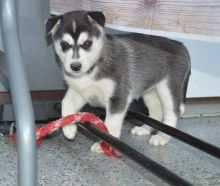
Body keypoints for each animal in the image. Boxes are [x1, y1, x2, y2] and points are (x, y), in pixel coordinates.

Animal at [45, 10, 190, 153]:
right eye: (64, 45)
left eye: (87, 43)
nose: (75, 66)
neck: (92, 69)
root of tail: (181, 46)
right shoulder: (79, 91)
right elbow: (66, 104)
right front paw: (68, 129)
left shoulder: (118, 97)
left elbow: (110, 124)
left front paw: (104, 144)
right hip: (150, 91)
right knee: (157, 111)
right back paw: (144, 129)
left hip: (168, 88)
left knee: (173, 113)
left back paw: (162, 137)